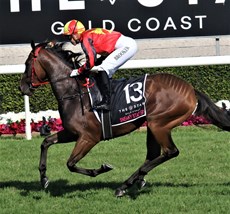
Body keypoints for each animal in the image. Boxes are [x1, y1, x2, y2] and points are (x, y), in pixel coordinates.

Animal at [18, 41, 229, 197]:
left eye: (27, 64)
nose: (22, 87)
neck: (75, 93)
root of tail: (190, 90)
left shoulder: (89, 137)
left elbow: (70, 163)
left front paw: (101, 169)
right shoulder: (71, 132)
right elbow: (46, 142)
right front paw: (43, 178)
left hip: (159, 123)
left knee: (170, 152)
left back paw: (127, 184)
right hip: (153, 125)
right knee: (153, 155)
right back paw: (133, 181)